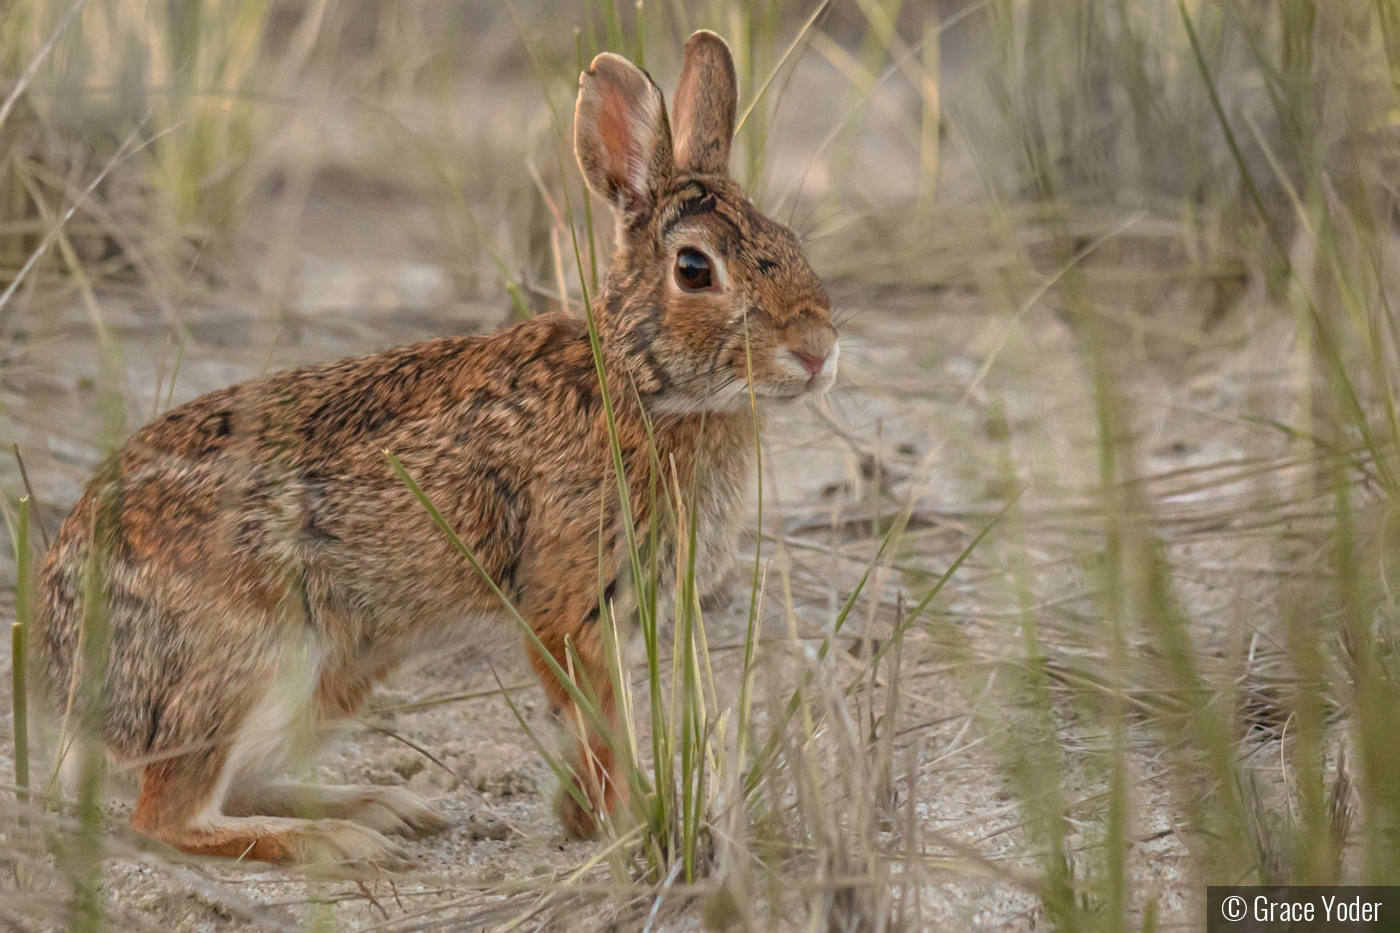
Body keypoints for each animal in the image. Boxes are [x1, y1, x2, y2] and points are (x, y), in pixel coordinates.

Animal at [32, 32, 834, 868]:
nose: (818, 350)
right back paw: (339, 841)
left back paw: (383, 808)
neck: (639, 380)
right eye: (694, 269)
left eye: (792, 243)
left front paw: (587, 817)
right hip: (247, 659)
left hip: (333, 675)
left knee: (235, 784)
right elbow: (601, 722)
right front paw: (623, 820)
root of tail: (66, 675)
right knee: (166, 813)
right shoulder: (566, 607)